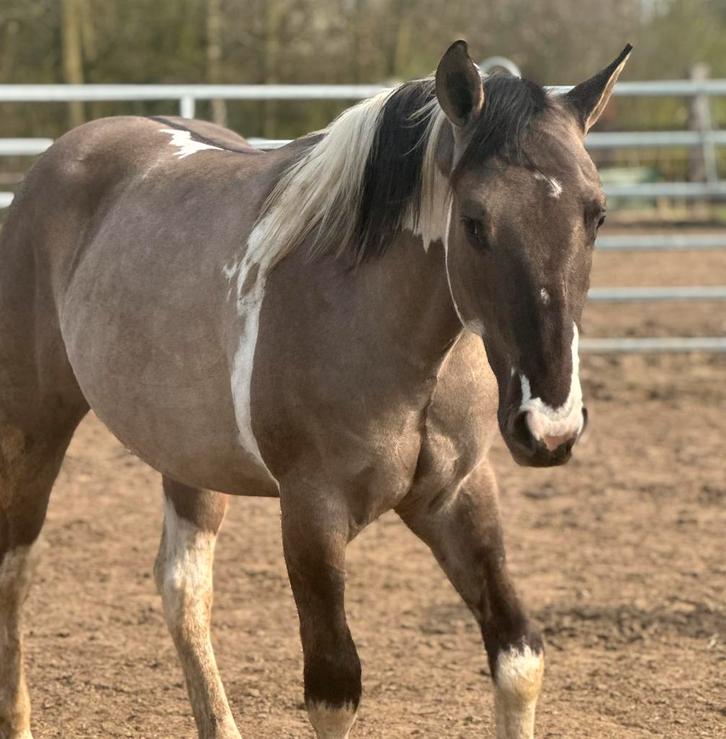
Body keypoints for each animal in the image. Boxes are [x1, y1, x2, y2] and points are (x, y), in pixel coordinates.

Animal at [0, 40, 630, 739]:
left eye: (596, 215)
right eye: (474, 222)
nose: (548, 426)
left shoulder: (459, 497)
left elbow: (518, 657)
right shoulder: (312, 513)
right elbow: (334, 688)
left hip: (189, 458)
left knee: (183, 587)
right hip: (33, 427)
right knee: (16, 573)